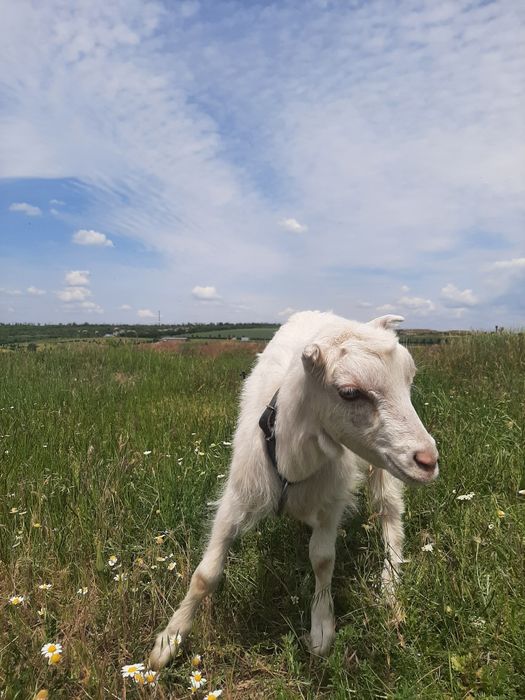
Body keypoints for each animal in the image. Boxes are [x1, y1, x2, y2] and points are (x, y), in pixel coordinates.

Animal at [150, 311, 439, 669]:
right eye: (349, 392)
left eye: (409, 380)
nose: (429, 461)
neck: (293, 461)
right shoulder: (237, 496)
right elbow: (206, 575)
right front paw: (169, 641)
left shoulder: (332, 501)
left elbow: (323, 560)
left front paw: (321, 628)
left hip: (383, 470)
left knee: (390, 516)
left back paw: (389, 585)